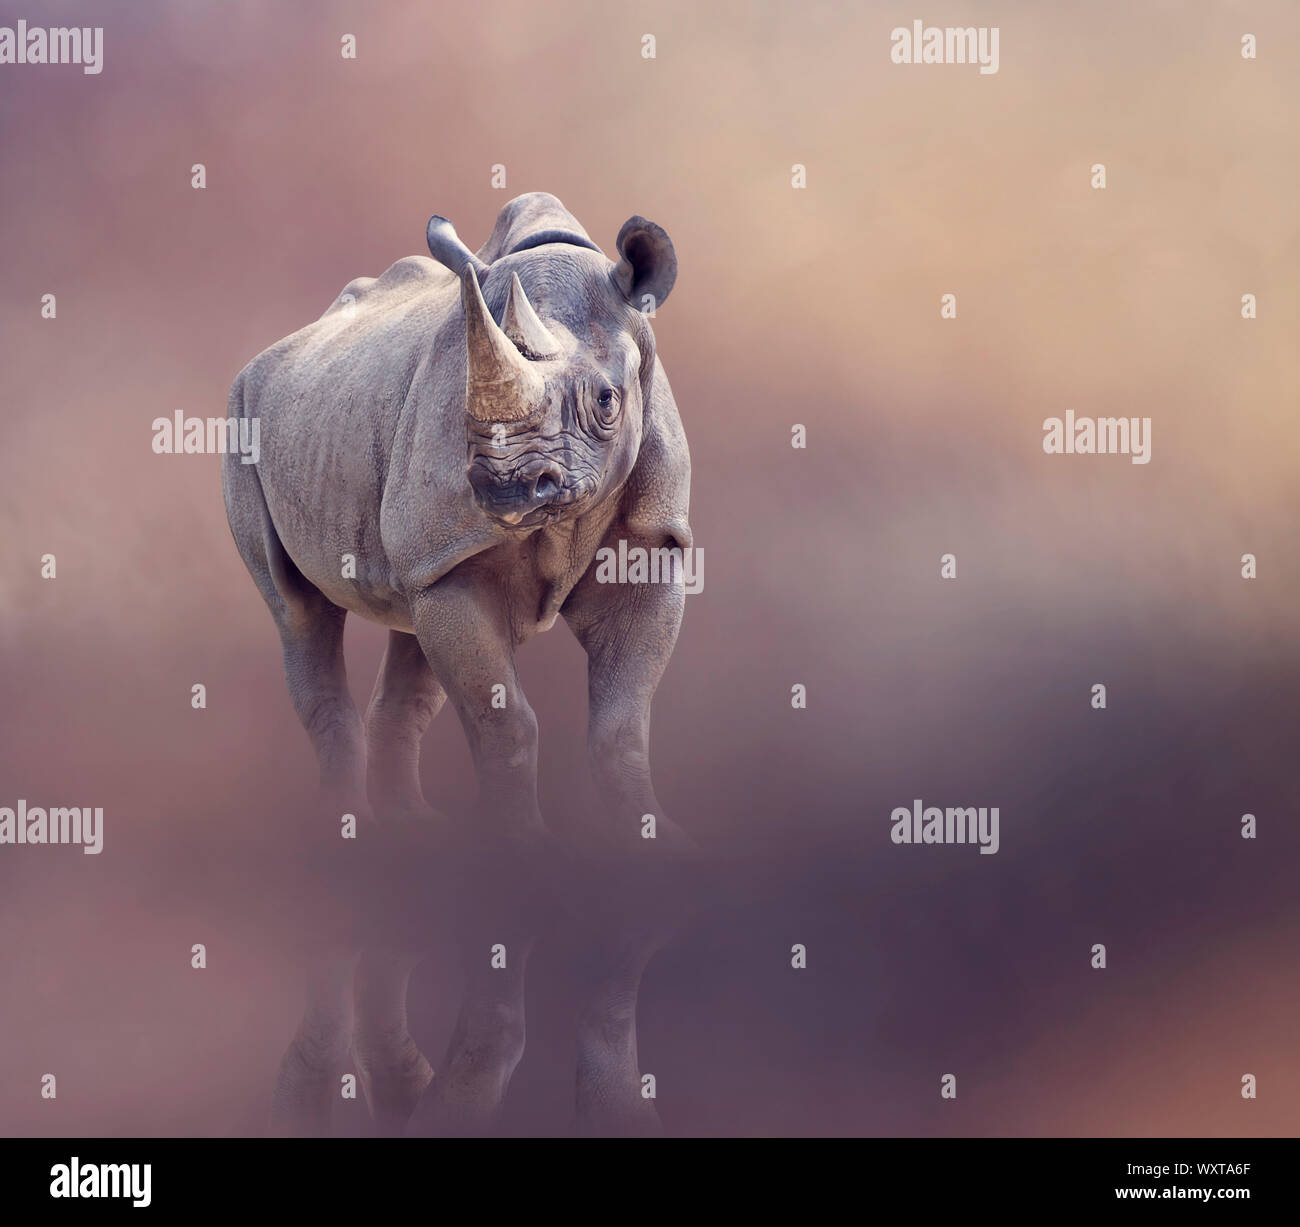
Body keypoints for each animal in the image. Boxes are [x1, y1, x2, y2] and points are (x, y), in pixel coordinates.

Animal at [223, 193, 692, 1135]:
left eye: (609, 402)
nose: (507, 486)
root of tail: (276, 348)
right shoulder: (454, 541)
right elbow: (505, 714)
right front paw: (531, 868)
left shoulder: (656, 537)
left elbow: (621, 716)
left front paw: (657, 852)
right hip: (246, 413)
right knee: (300, 614)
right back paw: (345, 846)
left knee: (408, 635)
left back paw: (412, 834)